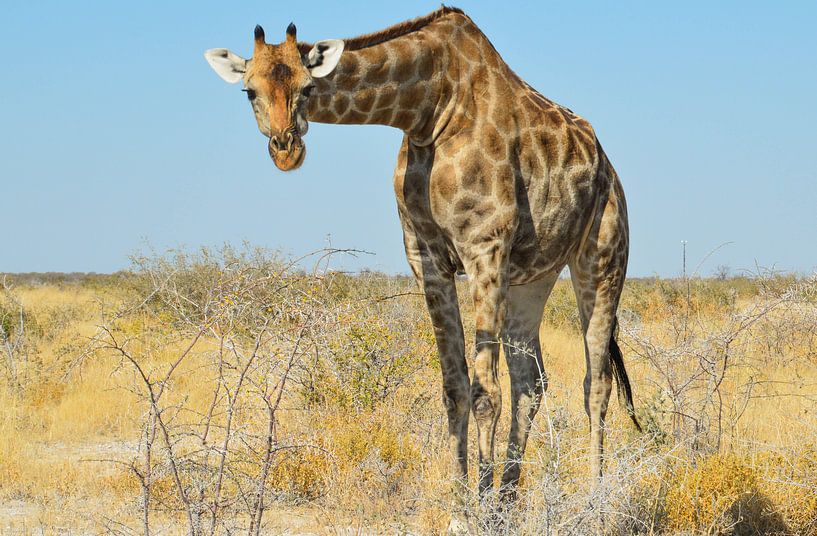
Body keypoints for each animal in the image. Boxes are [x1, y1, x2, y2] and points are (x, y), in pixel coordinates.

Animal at [205, 6, 641, 530]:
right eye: (249, 90)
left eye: (308, 87)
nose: (285, 148)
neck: (427, 110)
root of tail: (606, 163)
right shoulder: (427, 259)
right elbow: (455, 388)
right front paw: (463, 512)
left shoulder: (484, 248)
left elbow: (484, 393)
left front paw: (479, 511)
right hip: (532, 278)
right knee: (530, 382)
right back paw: (509, 503)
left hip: (602, 256)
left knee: (595, 382)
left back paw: (596, 505)